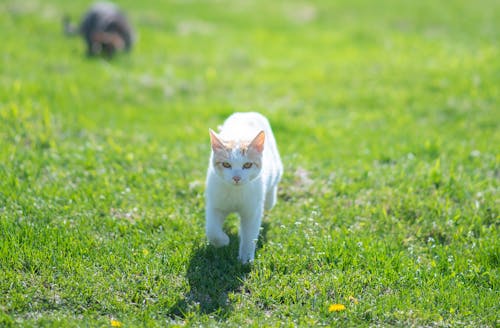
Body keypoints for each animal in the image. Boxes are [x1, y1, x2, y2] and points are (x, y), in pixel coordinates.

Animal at [205, 111, 284, 262]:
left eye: (247, 165)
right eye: (226, 164)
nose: (236, 178)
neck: (236, 192)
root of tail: (246, 113)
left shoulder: (252, 211)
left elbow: (249, 234)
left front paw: (246, 258)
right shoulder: (215, 204)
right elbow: (212, 229)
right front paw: (223, 241)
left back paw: (270, 199)